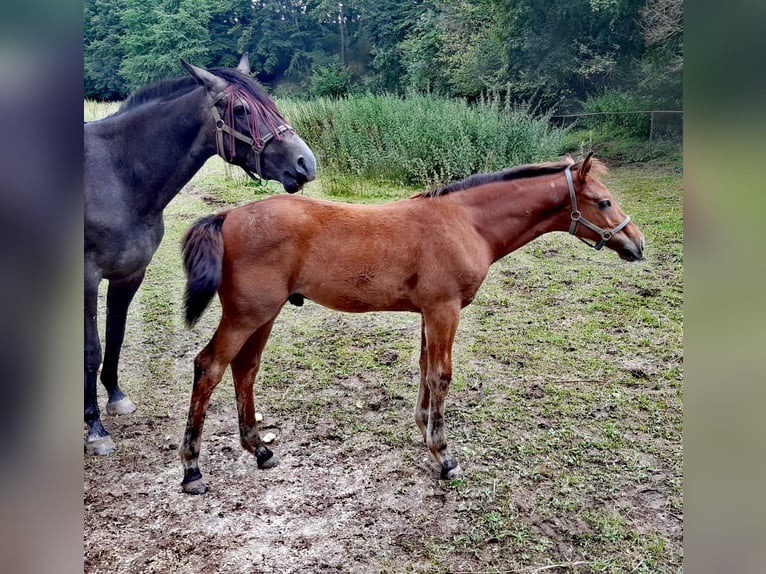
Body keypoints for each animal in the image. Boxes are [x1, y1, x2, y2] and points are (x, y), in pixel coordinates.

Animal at [82, 56, 316, 456]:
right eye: (241, 110)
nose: (305, 163)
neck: (118, 175)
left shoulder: (130, 274)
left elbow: (116, 335)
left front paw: (115, 396)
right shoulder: (86, 278)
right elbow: (92, 350)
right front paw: (95, 428)